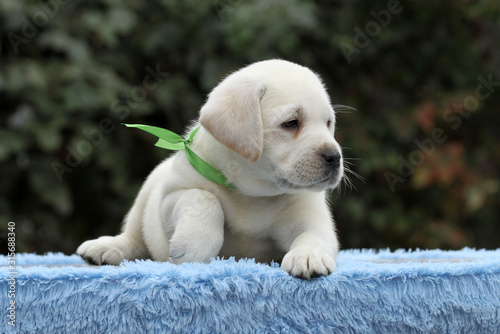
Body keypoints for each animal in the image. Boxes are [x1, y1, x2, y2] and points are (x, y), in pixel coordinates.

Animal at [77, 60, 344, 280]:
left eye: (328, 123)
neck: (254, 193)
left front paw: (308, 257)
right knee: (134, 238)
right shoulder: (172, 197)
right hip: (147, 193)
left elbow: (313, 235)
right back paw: (106, 247)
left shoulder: (310, 216)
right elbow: (203, 198)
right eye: (291, 123)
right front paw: (194, 245)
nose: (335, 157)